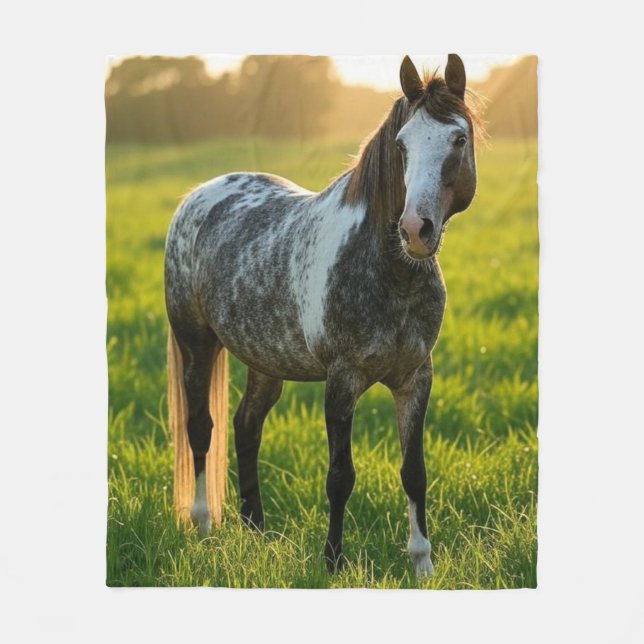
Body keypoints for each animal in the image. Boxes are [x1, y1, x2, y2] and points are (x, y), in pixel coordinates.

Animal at [164, 54, 478, 577]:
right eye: (402, 145)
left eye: (459, 139)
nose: (415, 229)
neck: (391, 272)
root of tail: (196, 197)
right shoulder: (341, 379)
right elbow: (340, 476)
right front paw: (332, 561)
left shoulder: (416, 377)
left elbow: (414, 471)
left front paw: (422, 564)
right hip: (197, 344)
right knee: (201, 429)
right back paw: (205, 523)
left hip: (264, 362)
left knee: (246, 426)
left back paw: (256, 531)